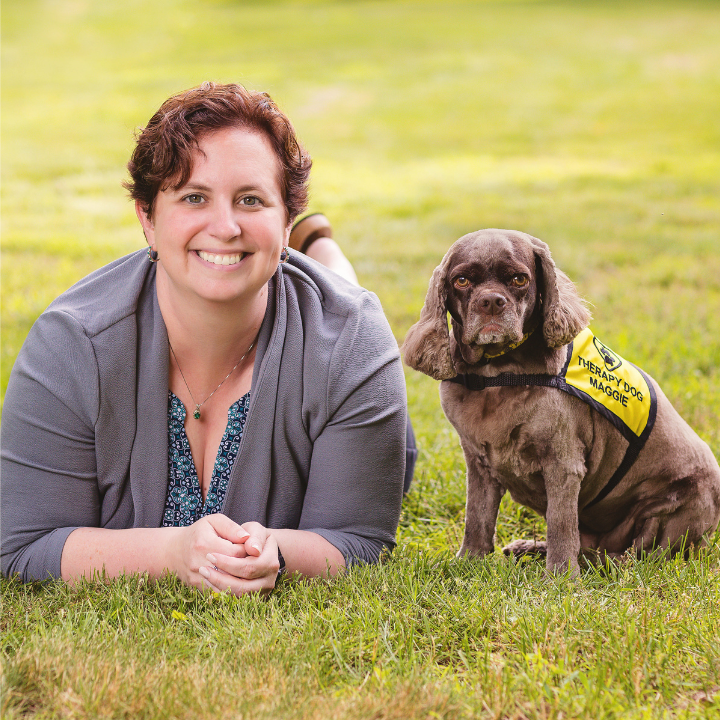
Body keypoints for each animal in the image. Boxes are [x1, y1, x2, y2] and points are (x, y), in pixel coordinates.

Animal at [404, 228, 720, 572]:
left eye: (519, 279)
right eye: (461, 281)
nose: (491, 302)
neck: (496, 375)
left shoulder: (562, 462)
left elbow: (560, 523)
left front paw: (561, 576)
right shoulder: (477, 461)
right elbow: (477, 516)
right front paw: (469, 563)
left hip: (673, 504)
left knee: (640, 554)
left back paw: (599, 564)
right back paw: (531, 548)